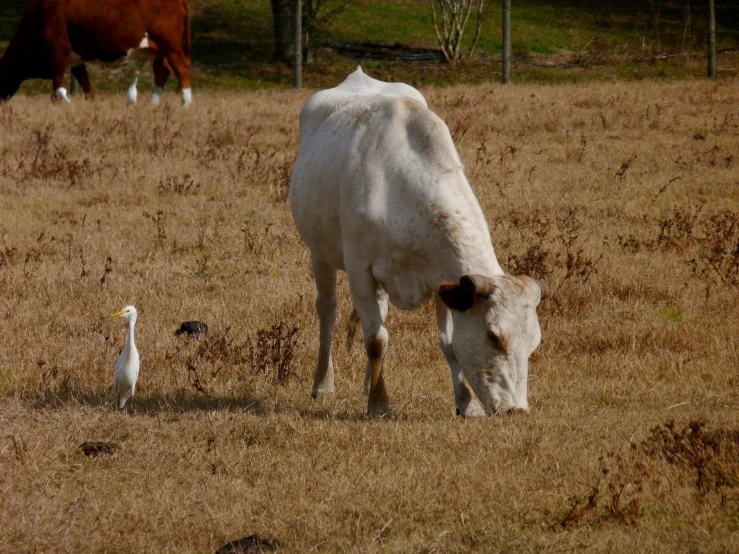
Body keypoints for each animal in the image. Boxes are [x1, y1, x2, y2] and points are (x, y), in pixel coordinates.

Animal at [0, 0, 194, 105]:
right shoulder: (75, 59)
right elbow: (85, 84)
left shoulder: (58, 53)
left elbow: (57, 87)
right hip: (157, 50)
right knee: (162, 71)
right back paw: (152, 104)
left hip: (171, 46)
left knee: (182, 68)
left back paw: (186, 104)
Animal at [290, 68, 548, 414]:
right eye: (494, 336)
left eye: (533, 344)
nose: (516, 410)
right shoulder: (360, 272)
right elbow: (376, 340)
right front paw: (379, 404)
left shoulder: (441, 279)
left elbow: (447, 343)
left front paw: (466, 404)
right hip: (319, 252)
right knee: (328, 310)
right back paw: (323, 383)